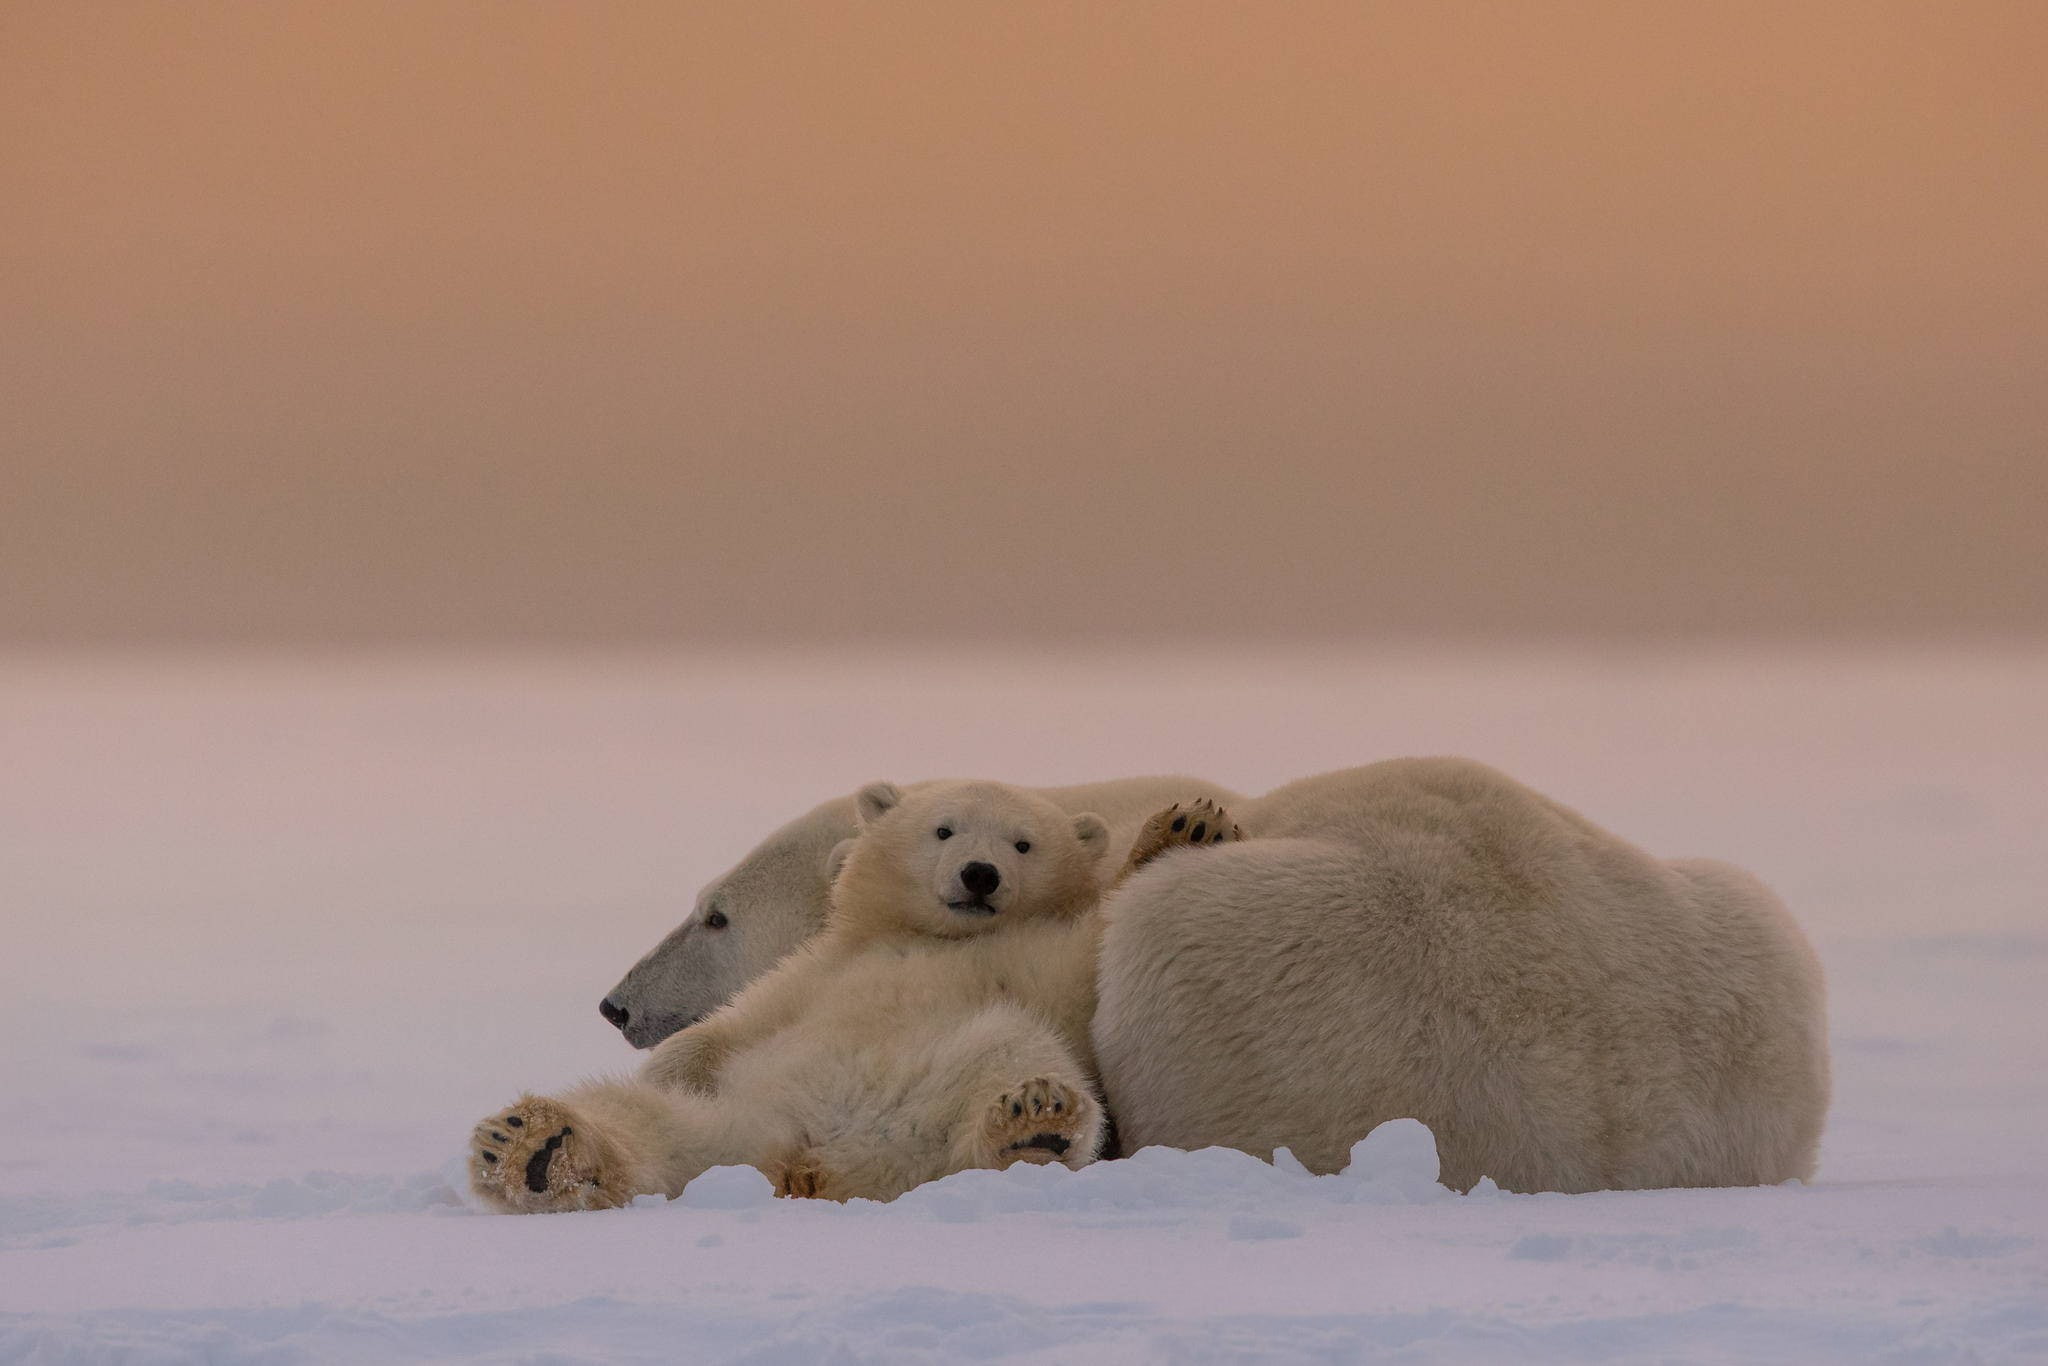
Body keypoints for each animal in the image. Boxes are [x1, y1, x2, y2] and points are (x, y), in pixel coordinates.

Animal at [468, 774, 1228, 1212]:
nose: (979, 874)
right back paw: (530, 1147)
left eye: (1023, 844)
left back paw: (1034, 1122)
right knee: (639, 1119)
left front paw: (1190, 828)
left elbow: (1092, 949)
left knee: (1014, 1060)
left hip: (961, 1076)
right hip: (739, 1118)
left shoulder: (1039, 957)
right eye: (943, 829)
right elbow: (736, 1025)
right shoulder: (822, 965)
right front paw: (1184, 826)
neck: (927, 936)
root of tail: (810, 1163)